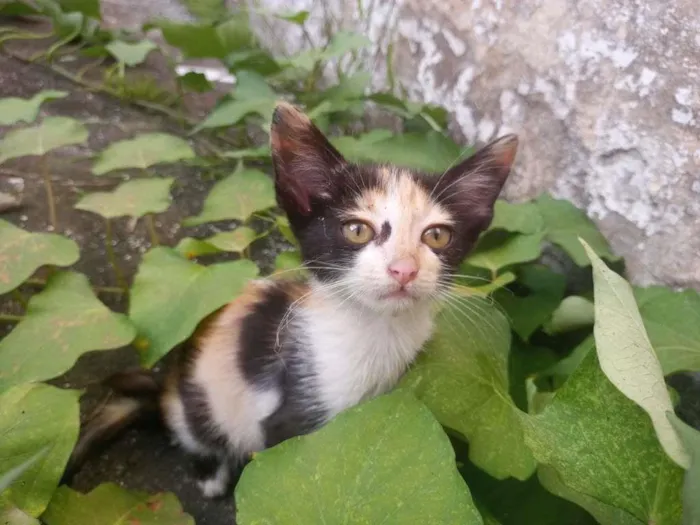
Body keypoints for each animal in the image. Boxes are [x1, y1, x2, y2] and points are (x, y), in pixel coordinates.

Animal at [69, 101, 520, 496]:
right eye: (357, 230)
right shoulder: (290, 421)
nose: (404, 269)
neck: (376, 337)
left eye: (437, 236)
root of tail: (166, 386)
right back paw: (212, 474)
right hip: (206, 404)